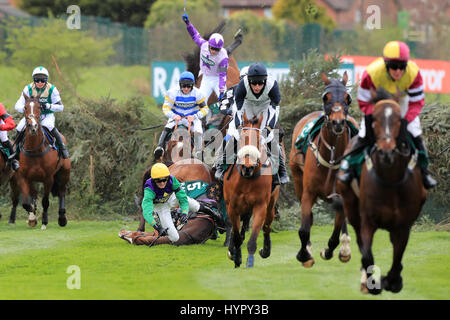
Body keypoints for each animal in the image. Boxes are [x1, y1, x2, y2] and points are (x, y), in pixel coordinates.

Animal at [10, 94, 71, 229]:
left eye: (39, 107)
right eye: (25, 107)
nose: (32, 126)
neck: (34, 149)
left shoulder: (48, 178)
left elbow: (45, 201)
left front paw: (44, 222)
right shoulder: (23, 176)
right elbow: (26, 202)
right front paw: (32, 216)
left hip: (64, 173)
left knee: (62, 192)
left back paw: (62, 218)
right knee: (34, 193)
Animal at [222, 112, 278, 268]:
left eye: (259, 139)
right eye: (241, 138)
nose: (248, 167)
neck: (247, 179)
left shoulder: (260, 205)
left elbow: (252, 238)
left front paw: (249, 263)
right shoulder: (232, 206)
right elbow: (236, 234)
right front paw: (236, 257)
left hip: (271, 202)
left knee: (266, 227)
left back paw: (265, 250)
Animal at [288, 72, 358, 268]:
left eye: (347, 98)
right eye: (325, 97)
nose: (338, 123)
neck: (332, 155)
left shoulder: (341, 192)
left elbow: (335, 232)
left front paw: (331, 250)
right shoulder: (308, 191)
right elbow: (304, 228)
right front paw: (305, 254)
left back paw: (345, 248)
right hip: (297, 179)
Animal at [336, 88, 428, 296]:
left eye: (398, 120)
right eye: (375, 119)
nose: (387, 151)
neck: (390, 181)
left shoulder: (403, 226)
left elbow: (397, 258)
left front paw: (392, 281)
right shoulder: (367, 221)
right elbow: (367, 254)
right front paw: (373, 282)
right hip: (352, 207)